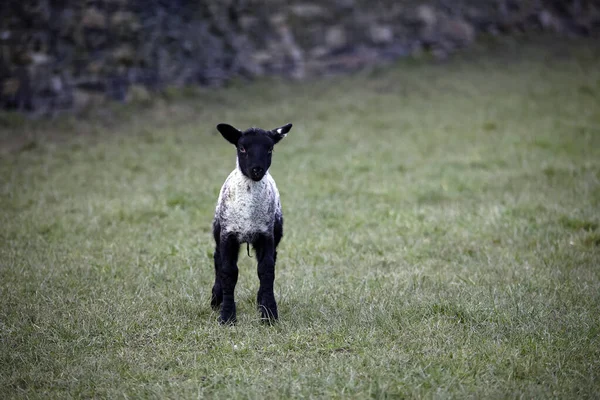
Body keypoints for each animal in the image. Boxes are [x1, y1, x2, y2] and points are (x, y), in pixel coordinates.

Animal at [211, 121, 292, 322]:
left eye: (270, 149)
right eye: (242, 148)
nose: (257, 170)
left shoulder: (266, 235)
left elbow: (266, 270)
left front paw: (269, 313)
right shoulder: (228, 235)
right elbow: (228, 271)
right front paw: (227, 316)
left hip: (275, 230)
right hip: (218, 228)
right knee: (217, 259)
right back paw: (216, 299)